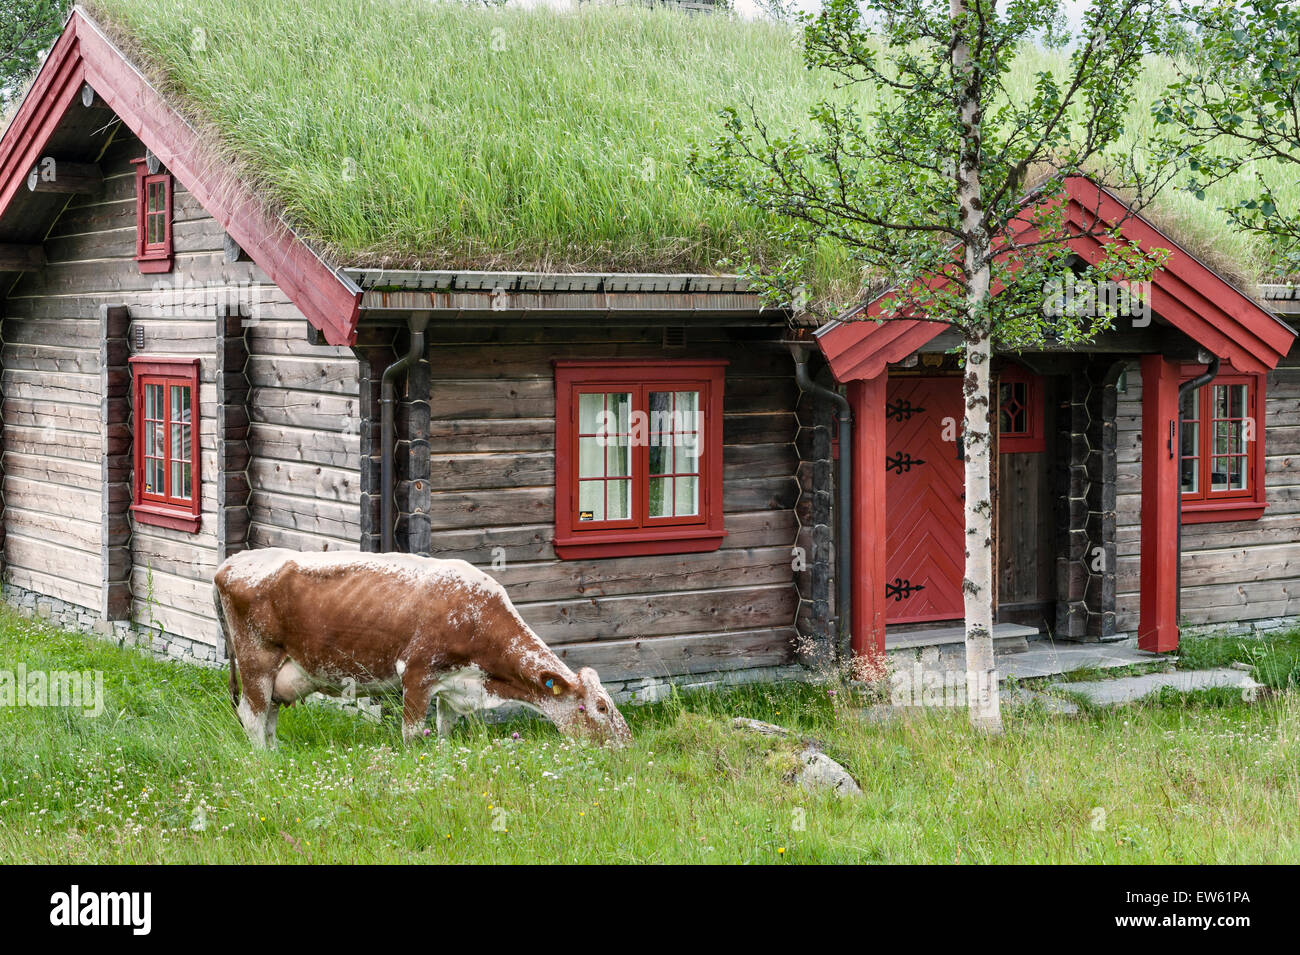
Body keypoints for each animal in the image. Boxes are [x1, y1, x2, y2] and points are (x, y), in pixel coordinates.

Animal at [211, 548, 629, 748]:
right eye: (600, 708)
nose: (626, 745)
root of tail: (230, 563)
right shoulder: (416, 673)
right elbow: (412, 734)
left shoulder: (454, 685)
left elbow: (445, 731)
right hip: (256, 661)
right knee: (252, 715)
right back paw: (264, 763)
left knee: (268, 717)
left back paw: (276, 754)